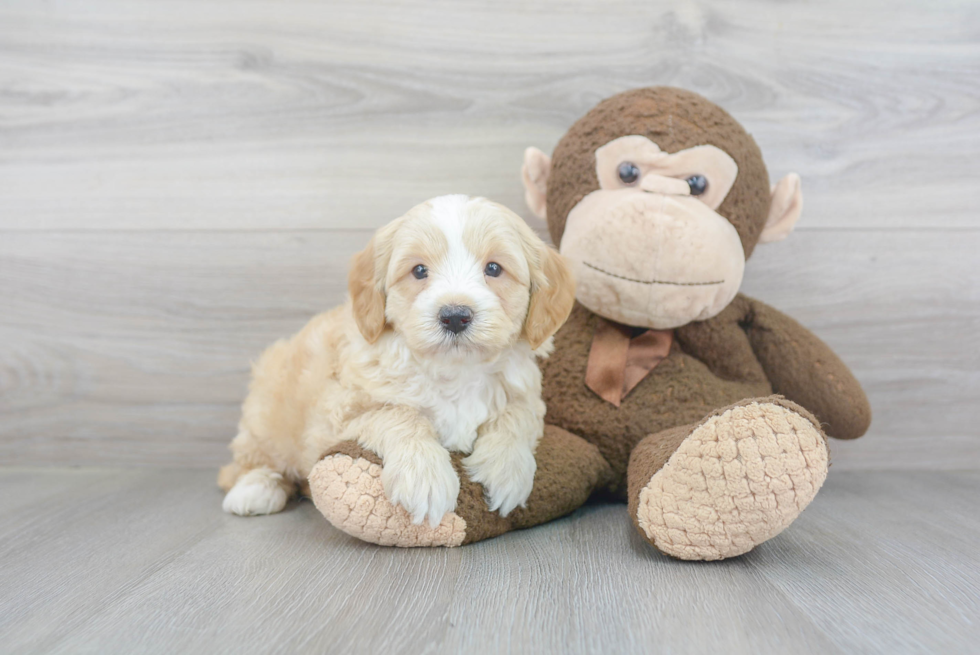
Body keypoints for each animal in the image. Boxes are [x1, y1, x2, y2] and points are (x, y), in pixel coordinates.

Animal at [220, 195, 576, 528]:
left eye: (493, 269)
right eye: (419, 270)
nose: (455, 316)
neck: (454, 371)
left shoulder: (528, 396)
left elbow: (516, 415)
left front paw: (506, 469)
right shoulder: (340, 411)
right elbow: (396, 413)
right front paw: (424, 475)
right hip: (266, 411)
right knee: (249, 460)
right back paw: (254, 489)